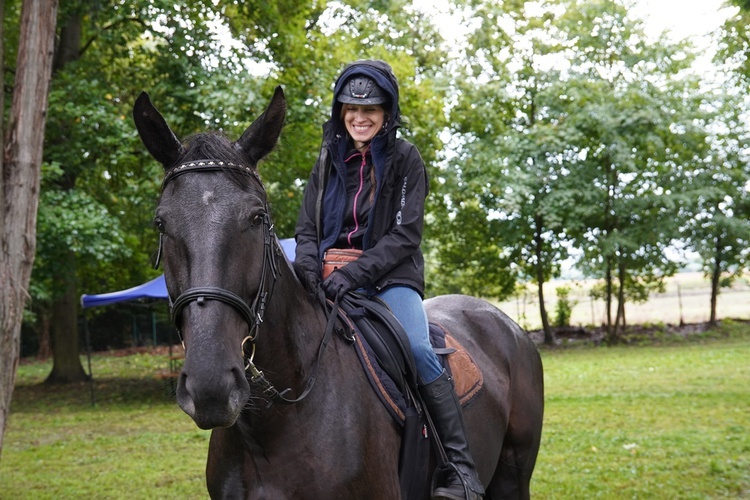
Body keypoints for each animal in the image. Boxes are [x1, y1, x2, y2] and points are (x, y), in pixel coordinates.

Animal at [134, 87, 548, 500]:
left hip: (513, 477)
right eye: (161, 222)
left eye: (257, 218)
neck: (272, 426)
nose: (211, 388)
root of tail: (507, 323)